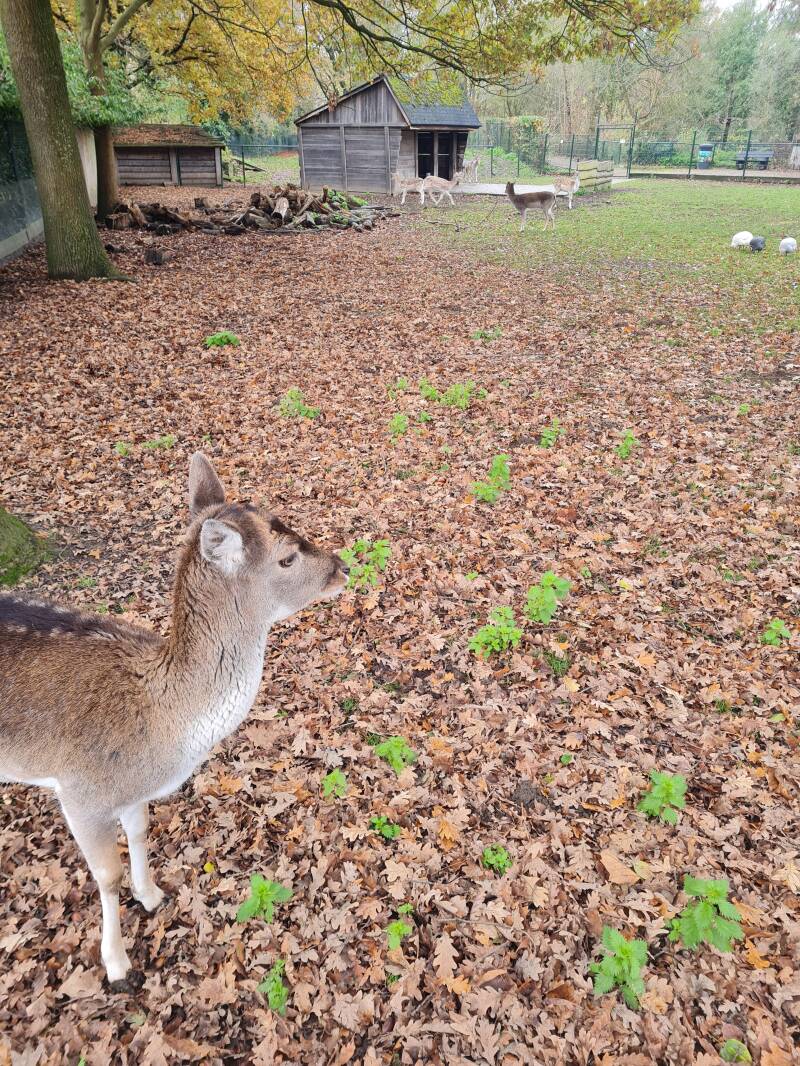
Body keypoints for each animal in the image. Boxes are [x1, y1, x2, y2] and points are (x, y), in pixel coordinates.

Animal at [0, 454, 349, 987]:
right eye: (287, 557)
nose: (342, 566)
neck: (163, 728)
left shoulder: (132, 792)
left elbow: (141, 831)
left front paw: (152, 895)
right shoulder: (81, 793)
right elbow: (107, 875)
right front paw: (116, 962)